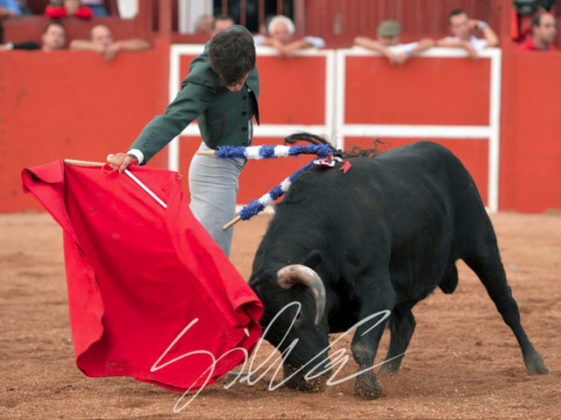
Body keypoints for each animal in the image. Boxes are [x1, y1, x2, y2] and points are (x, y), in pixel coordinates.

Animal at [248, 140, 548, 398]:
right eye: (268, 333)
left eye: (298, 316)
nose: (305, 381)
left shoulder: (377, 288)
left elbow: (362, 344)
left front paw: (368, 389)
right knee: (406, 324)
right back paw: (389, 373)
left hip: (483, 246)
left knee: (506, 304)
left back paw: (536, 364)